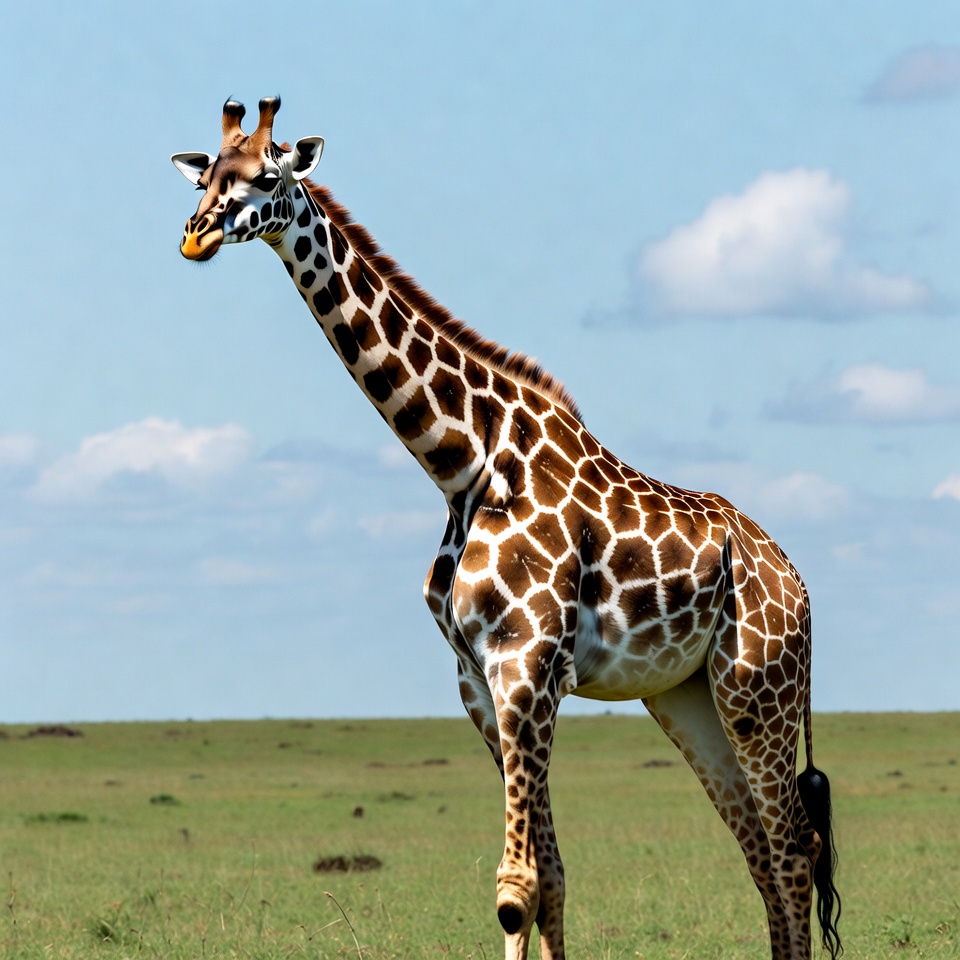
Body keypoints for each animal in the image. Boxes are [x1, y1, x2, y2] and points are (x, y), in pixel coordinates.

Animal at [172, 97, 841, 960]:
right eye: (207, 178)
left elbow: (515, 889)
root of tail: (797, 579)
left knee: (792, 848)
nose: (196, 233)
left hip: (759, 685)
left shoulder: (526, 667)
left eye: (267, 177)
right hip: (687, 696)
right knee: (760, 851)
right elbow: (548, 876)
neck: (463, 462)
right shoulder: (479, 682)